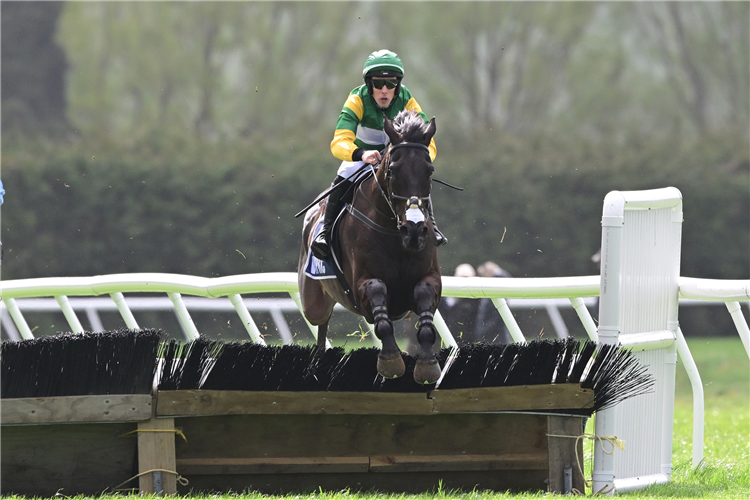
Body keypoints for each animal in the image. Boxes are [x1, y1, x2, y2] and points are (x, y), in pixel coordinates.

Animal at [298, 111, 444, 384]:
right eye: (393, 170)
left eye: (429, 170)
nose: (414, 230)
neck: (396, 237)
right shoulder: (361, 284)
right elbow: (378, 298)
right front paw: (391, 360)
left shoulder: (431, 276)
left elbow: (424, 297)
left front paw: (427, 364)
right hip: (313, 302)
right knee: (320, 320)